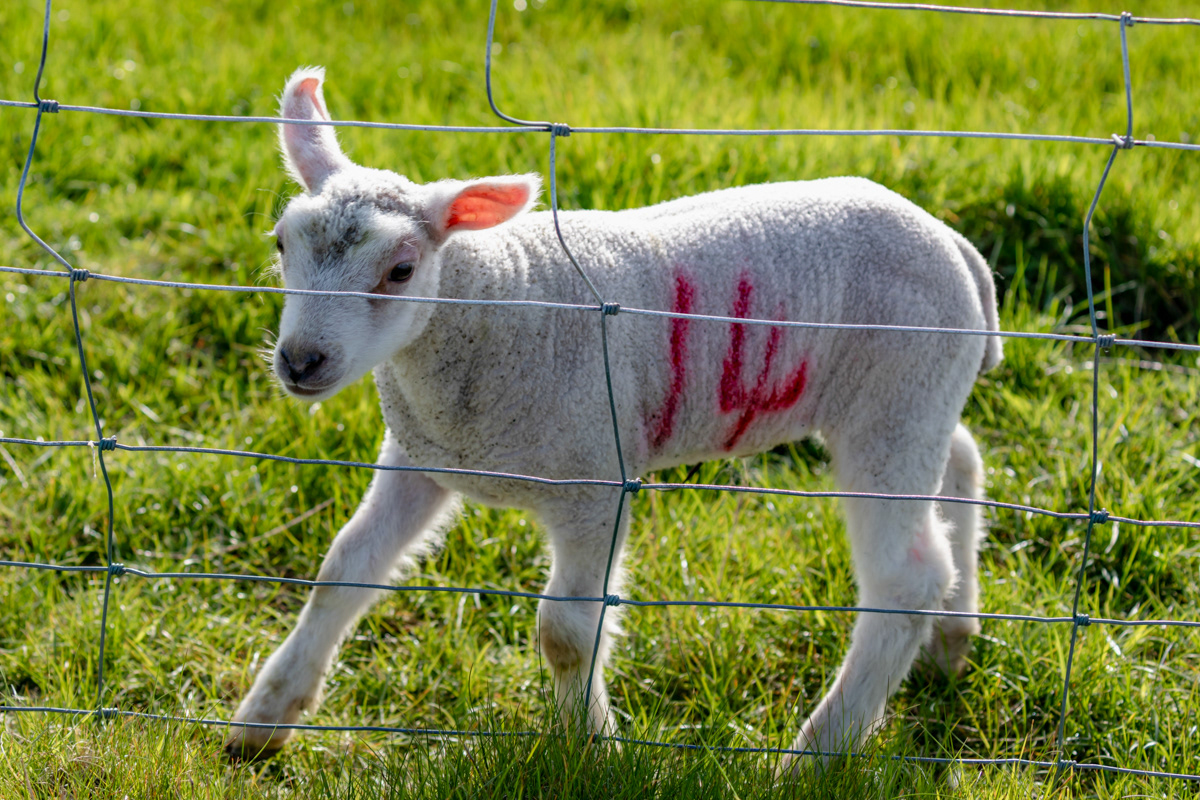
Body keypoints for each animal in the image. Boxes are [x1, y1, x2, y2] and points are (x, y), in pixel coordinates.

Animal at [224, 66, 1002, 769]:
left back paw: (815, 754)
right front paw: (264, 719)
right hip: (923, 393)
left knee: (905, 581)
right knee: (963, 460)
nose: (300, 361)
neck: (499, 299)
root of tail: (955, 246)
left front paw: (591, 745)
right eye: (281, 244)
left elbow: (566, 630)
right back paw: (954, 637)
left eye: (401, 271)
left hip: (895, 394)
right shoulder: (422, 455)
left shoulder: (594, 479)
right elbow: (344, 567)